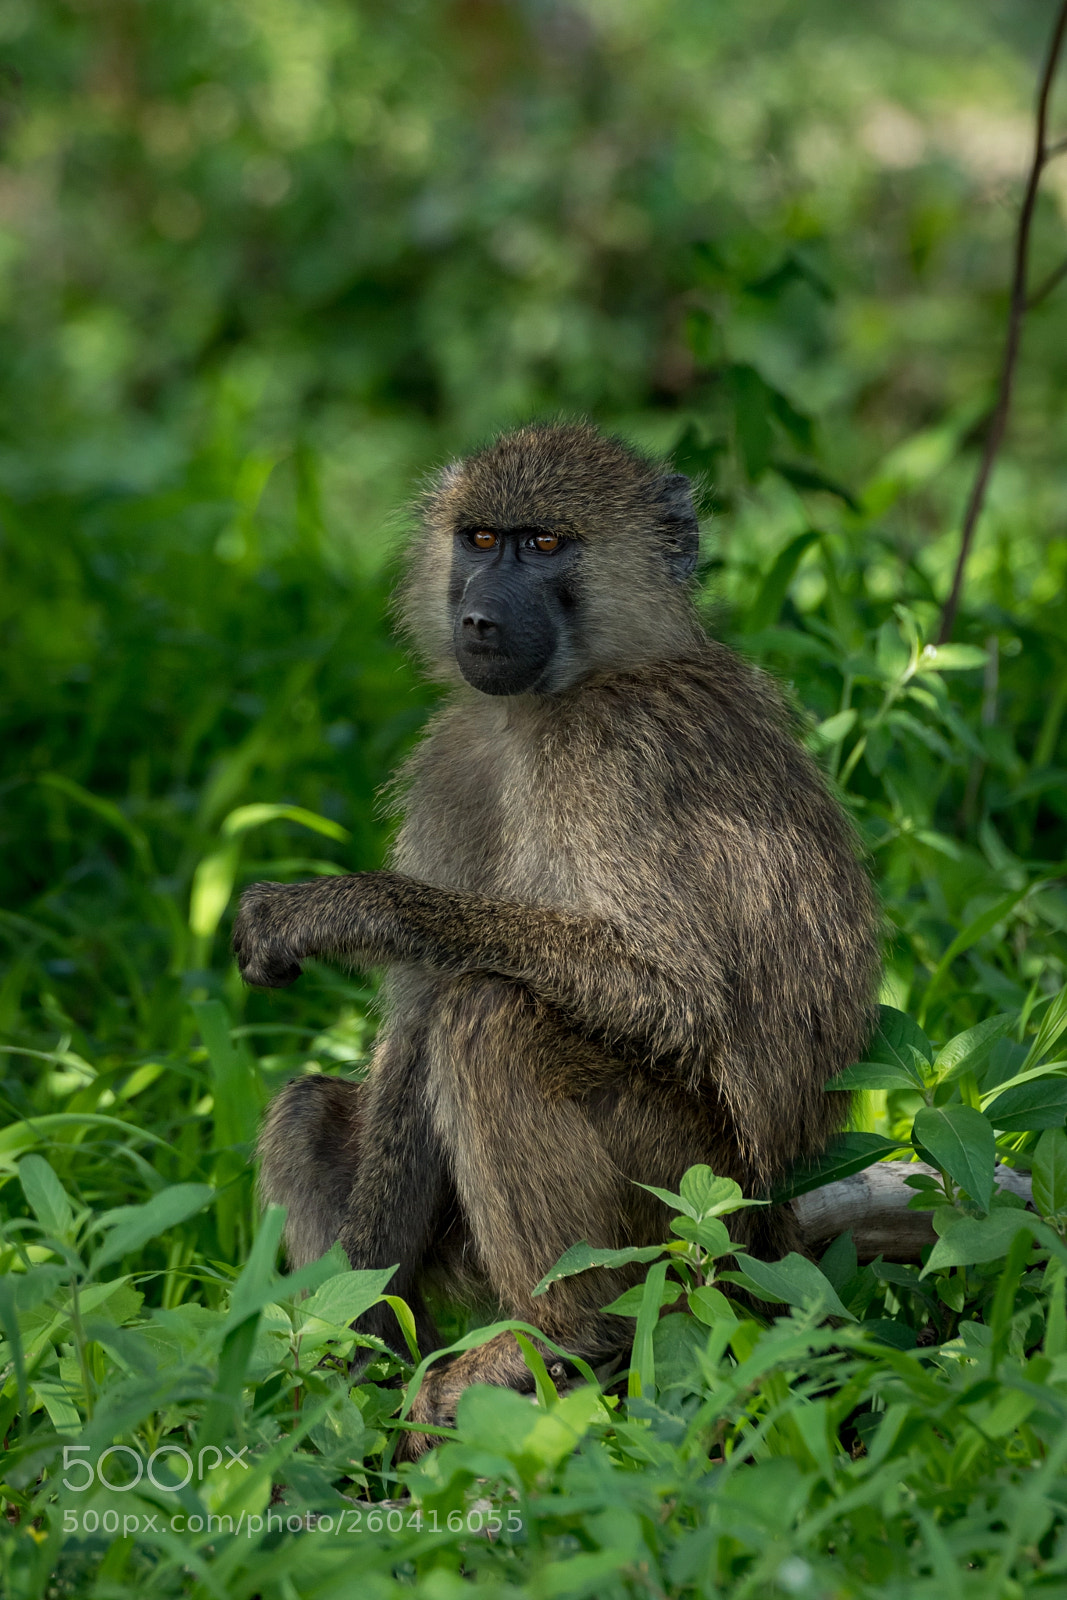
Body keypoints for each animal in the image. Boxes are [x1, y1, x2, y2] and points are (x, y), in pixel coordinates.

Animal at [234, 421, 880, 1457]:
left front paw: (344, 908)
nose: (479, 621)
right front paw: (351, 1348)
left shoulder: (609, 753)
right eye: (479, 539)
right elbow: (412, 1028)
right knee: (313, 1101)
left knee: (490, 1014)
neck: (558, 693)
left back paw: (562, 1337)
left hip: (692, 1200)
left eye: (543, 545)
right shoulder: (453, 755)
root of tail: (776, 1221)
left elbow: (670, 993)